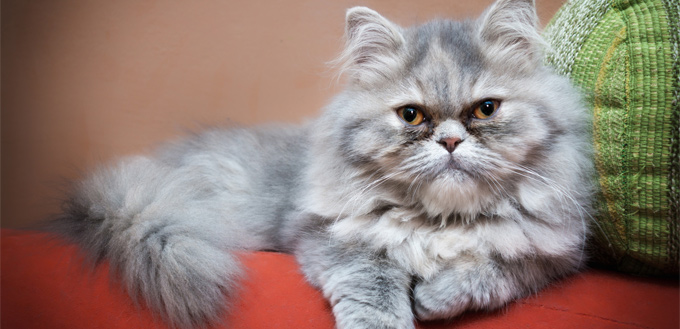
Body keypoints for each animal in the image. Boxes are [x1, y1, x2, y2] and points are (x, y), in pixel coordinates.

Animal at [51, 0, 596, 328]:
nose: (449, 142)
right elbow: (373, 284)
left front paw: (433, 299)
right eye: (411, 115)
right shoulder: (325, 237)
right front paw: (391, 317)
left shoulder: (549, 259)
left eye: (485, 109)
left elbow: (488, 272)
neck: (439, 219)